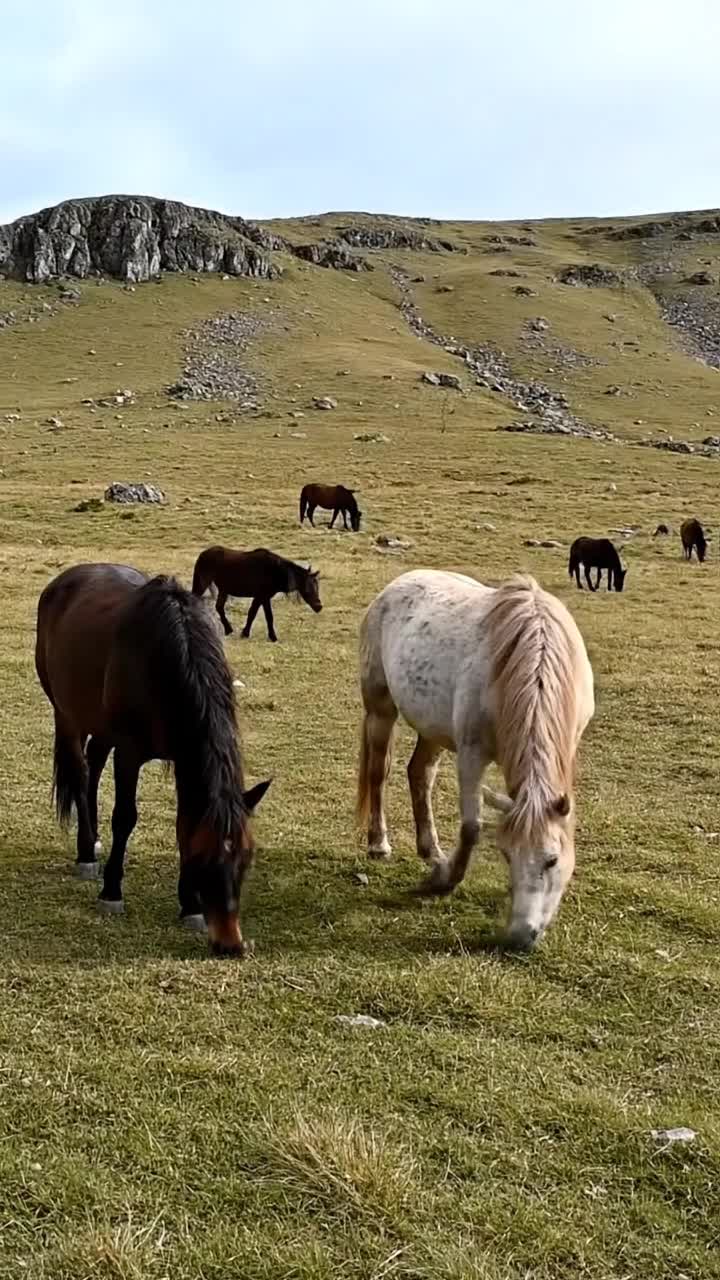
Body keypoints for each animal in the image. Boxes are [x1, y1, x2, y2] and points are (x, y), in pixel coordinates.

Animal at [35, 564, 271, 955]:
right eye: (205, 857)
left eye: (246, 856)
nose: (230, 944)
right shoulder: (129, 753)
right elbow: (125, 818)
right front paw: (111, 892)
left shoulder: (183, 758)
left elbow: (183, 822)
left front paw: (189, 906)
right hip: (67, 714)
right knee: (81, 773)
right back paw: (86, 852)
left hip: (101, 726)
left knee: (94, 763)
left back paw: (93, 840)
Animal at [191, 546, 322, 642]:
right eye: (309, 588)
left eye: (317, 587)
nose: (319, 607)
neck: (274, 571)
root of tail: (203, 554)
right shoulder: (262, 596)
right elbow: (265, 616)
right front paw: (272, 637)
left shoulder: (261, 597)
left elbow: (253, 614)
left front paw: (246, 633)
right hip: (202, 584)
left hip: (223, 590)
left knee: (219, 607)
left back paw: (228, 629)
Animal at [357, 569, 594, 951]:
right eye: (507, 855)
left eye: (552, 860)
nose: (520, 936)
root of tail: (397, 584)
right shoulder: (471, 753)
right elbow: (471, 828)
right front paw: (445, 881)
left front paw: (442, 870)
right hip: (381, 710)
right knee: (379, 773)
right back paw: (379, 844)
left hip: (434, 729)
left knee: (420, 773)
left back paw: (432, 851)